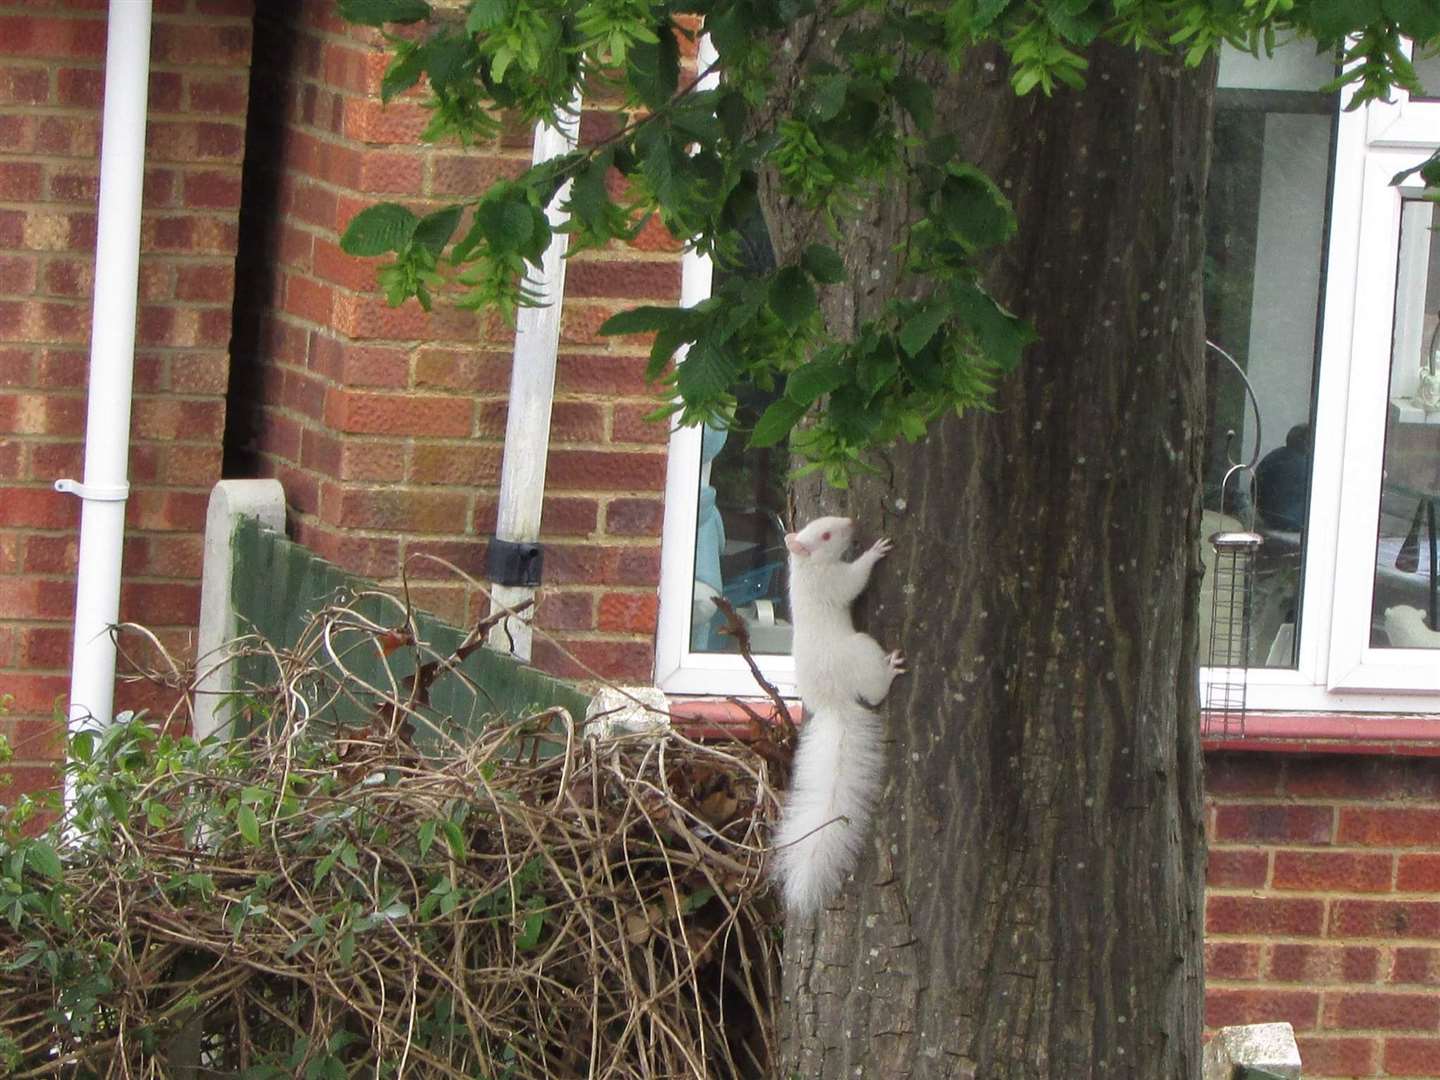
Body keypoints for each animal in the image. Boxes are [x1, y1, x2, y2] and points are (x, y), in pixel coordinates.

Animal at [777, 512, 898, 915]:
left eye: (822, 524)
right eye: (827, 535)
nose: (851, 522)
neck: (806, 566)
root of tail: (834, 704)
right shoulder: (832, 582)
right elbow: (854, 581)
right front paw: (875, 552)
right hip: (861, 650)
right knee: (874, 691)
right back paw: (890, 671)